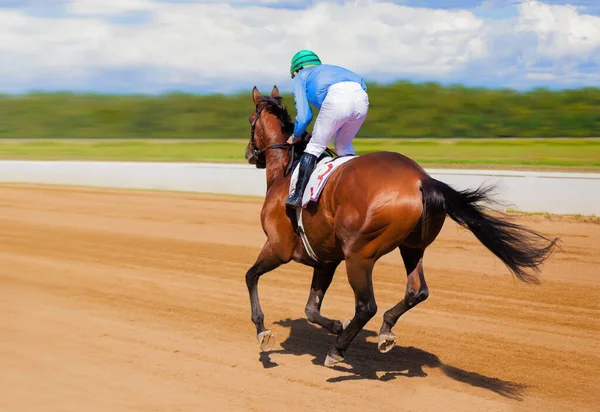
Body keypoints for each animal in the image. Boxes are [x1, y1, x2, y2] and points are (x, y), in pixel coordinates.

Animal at [243, 84, 556, 366]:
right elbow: (310, 309)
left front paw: (263, 332)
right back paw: (384, 331)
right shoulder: (325, 260)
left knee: (367, 305)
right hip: (412, 247)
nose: (248, 153)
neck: (287, 173)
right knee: (417, 291)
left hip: (359, 254)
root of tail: (421, 179)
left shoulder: (279, 247)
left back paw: (337, 351)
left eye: (250, 120)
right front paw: (335, 325)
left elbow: (250, 276)